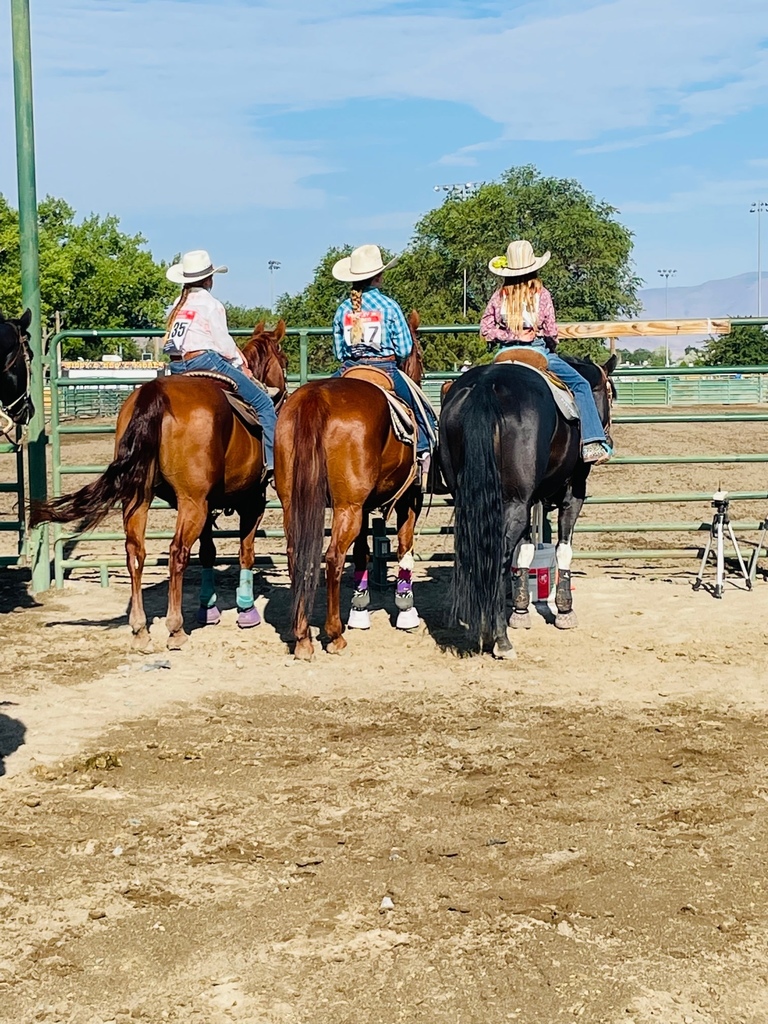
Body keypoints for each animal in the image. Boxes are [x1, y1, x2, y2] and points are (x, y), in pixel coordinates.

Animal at [29, 323, 288, 651]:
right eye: (285, 360)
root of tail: (155, 394)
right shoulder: (252, 500)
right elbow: (246, 552)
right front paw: (246, 611)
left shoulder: (208, 504)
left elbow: (208, 552)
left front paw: (208, 609)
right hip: (191, 502)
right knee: (177, 552)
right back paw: (175, 629)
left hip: (140, 498)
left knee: (135, 552)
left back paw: (140, 628)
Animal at [276, 311, 430, 659]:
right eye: (419, 353)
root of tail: (316, 398)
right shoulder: (409, 497)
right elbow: (404, 547)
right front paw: (407, 611)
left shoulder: (366, 504)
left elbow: (361, 552)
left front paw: (360, 609)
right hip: (348, 506)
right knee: (333, 556)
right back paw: (334, 634)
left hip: (295, 501)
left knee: (296, 554)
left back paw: (302, 636)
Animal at [438, 352, 618, 655]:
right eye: (610, 393)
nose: (609, 439)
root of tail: (486, 385)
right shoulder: (573, 494)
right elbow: (563, 549)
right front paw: (565, 611)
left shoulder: (530, 499)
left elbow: (524, 552)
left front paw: (521, 612)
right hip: (516, 503)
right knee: (497, 558)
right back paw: (500, 639)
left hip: (477, 501)